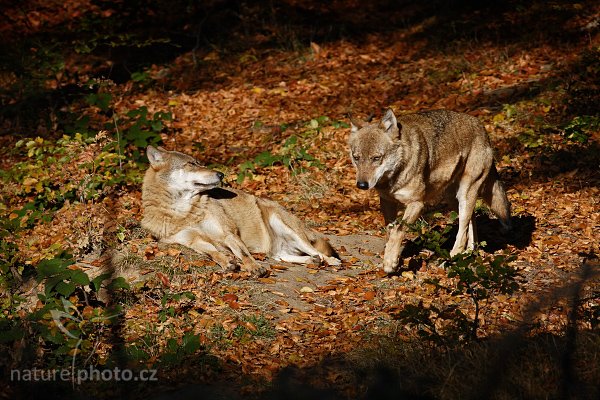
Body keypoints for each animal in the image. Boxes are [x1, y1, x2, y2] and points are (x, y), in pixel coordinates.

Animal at [139, 145, 338, 276]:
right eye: (191, 164)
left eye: (198, 163)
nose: (221, 174)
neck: (183, 212)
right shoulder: (192, 241)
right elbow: (213, 253)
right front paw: (227, 262)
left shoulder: (228, 233)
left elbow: (242, 253)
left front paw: (254, 268)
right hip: (277, 249)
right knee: (283, 257)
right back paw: (311, 261)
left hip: (285, 226)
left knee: (317, 251)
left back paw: (331, 261)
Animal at [350, 108, 512, 274]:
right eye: (356, 158)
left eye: (376, 158)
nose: (361, 185)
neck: (394, 178)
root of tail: (481, 126)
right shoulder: (387, 202)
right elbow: (390, 231)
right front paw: (393, 258)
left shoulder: (417, 204)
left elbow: (397, 230)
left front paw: (390, 263)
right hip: (453, 199)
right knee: (470, 224)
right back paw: (468, 254)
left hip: (465, 194)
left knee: (462, 231)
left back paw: (450, 260)